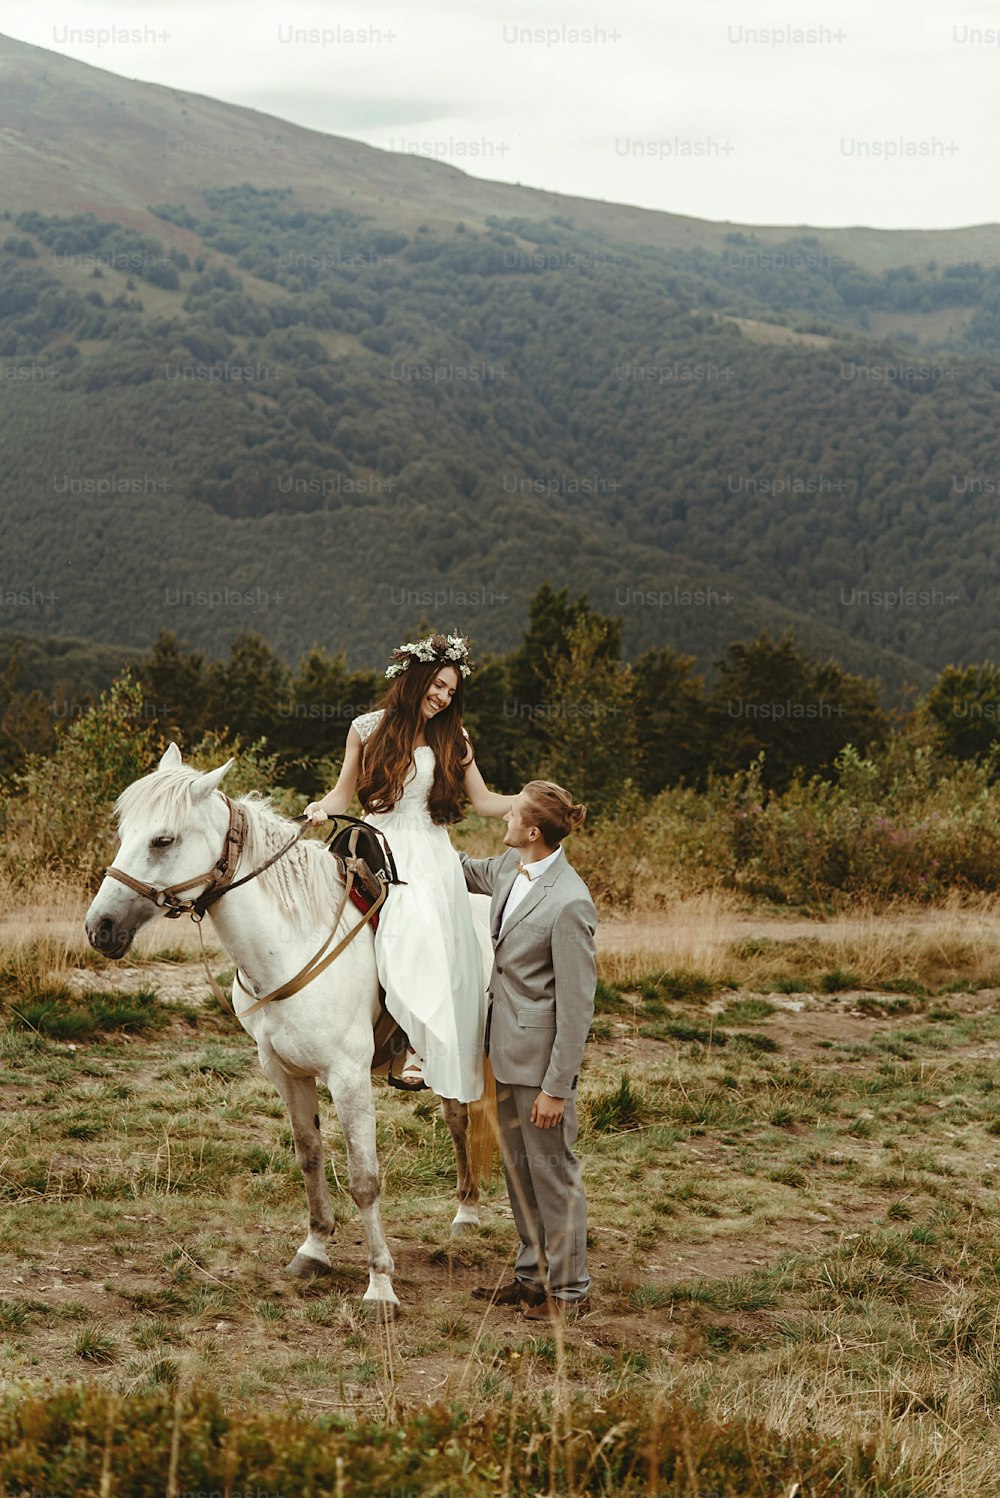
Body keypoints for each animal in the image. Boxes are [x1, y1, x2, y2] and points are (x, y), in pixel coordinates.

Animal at [84, 746, 491, 1312]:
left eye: (162, 840)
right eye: (124, 832)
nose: (99, 928)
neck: (293, 941)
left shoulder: (348, 1077)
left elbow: (364, 1178)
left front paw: (380, 1284)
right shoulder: (285, 1071)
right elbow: (310, 1155)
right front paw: (315, 1249)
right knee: (457, 1119)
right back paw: (466, 1213)